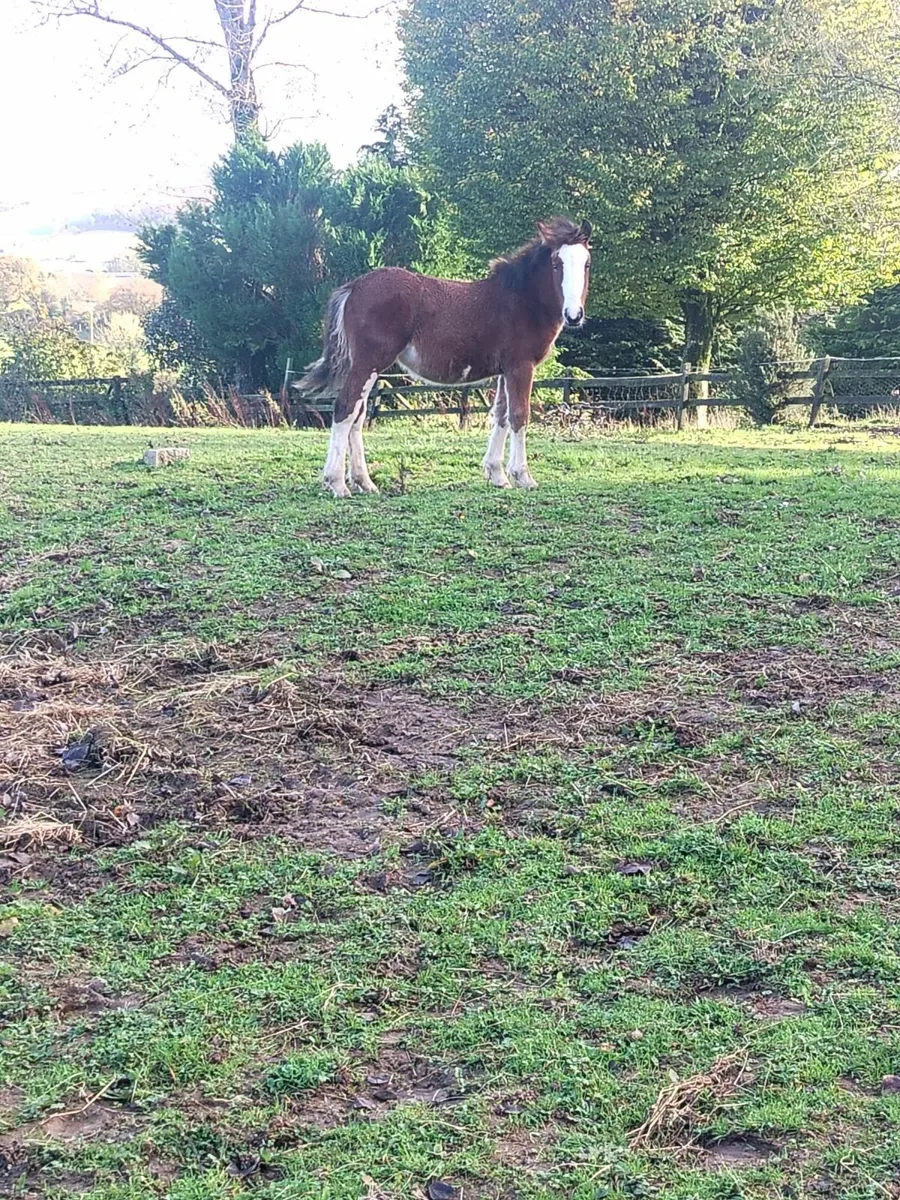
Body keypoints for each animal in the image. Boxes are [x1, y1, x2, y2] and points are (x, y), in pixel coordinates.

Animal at [299, 216, 592, 497]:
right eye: (556, 263)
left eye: (587, 263)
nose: (574, 315)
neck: (522, 301)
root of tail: (353, 287)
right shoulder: (521, 366)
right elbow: (519, 415)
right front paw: (523, 477)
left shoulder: (504, 371)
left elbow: (500, 415)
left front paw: (497, 475)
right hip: (368, 362)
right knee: (345, 408)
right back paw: (337, 483)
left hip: (369, 366)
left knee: (358, 415)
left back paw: (364, 482)